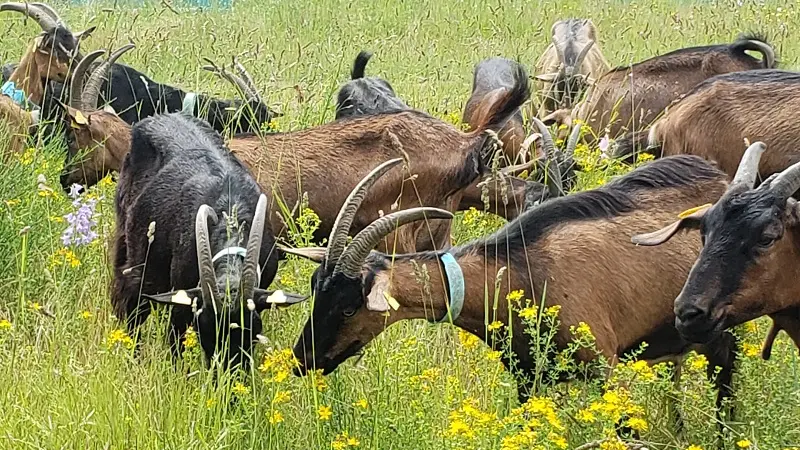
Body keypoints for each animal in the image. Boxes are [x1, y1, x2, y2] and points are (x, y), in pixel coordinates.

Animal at [286, 155, 736, 412]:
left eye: (349, 306)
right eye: (316, 293)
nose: (302, 360)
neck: (516, 272)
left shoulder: (603, 368)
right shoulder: (526, 379)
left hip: (722, 337)